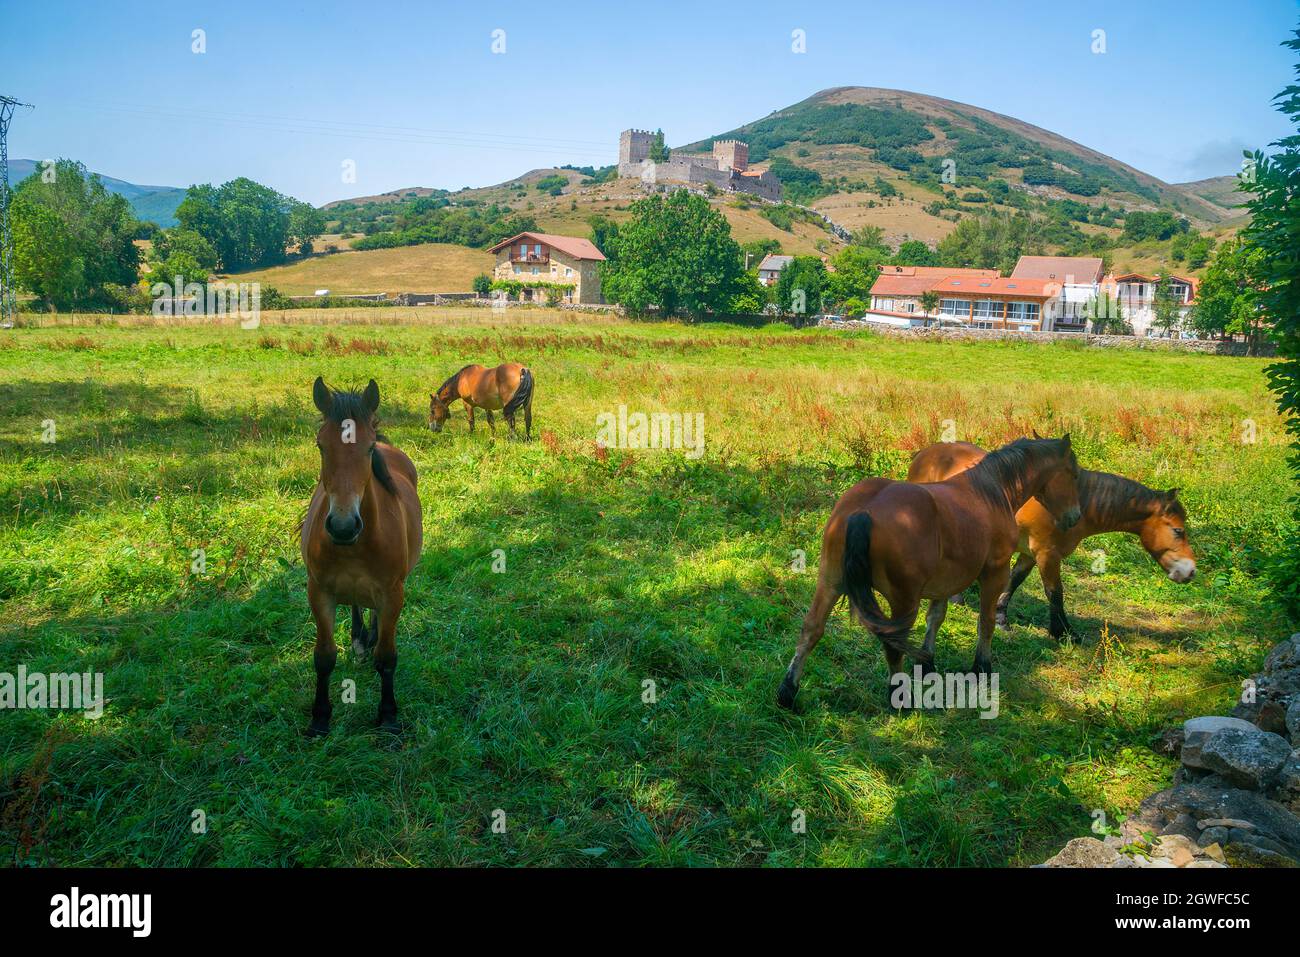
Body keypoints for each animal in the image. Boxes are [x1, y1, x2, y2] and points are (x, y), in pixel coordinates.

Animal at [299, 377, 421, 738]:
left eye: (367, 449)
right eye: (321, 445)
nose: (342, 526)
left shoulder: (393, 594)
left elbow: (388, 657)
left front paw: (389, 717)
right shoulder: (319, 592)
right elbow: (324, 657)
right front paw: (319, 719)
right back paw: (358, 640)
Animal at [774, 436, 1081, 707]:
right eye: (1073, 474)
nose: (1075, 517)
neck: (991, 491)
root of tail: (863, 511)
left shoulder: (945, 582)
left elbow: (936, 617)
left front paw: (927, 662)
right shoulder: (995, 573)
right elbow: (986, 622)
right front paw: (981, 667)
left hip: (830, 582)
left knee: (812, 629)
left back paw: (787, 692)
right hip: (903, 599)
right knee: (892, 645)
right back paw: (900, 701)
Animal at [904, 442, 1196, 639]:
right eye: (1178, 531)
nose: (1190, 571)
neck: (1080, 501)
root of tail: (924, 454)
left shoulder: (1029, 554)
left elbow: (1013, 582)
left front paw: (1001, 618)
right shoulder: (1047, 554)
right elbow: (1055, 592)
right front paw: (1063, 632)